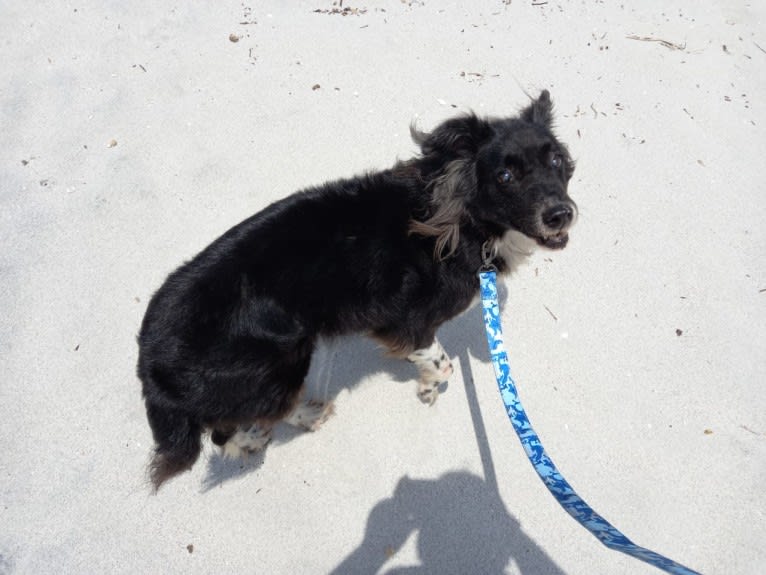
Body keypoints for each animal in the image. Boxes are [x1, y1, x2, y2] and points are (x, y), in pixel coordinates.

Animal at [140, 90, 576, 490]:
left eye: (556, 160)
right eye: (505, 176)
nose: (561, 214)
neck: (462, 218)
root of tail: (149, 360)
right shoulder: (406, 321)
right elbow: (441, 362)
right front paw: (427, 388)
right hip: (276, 366)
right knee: (230, 430)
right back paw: (283, 427)